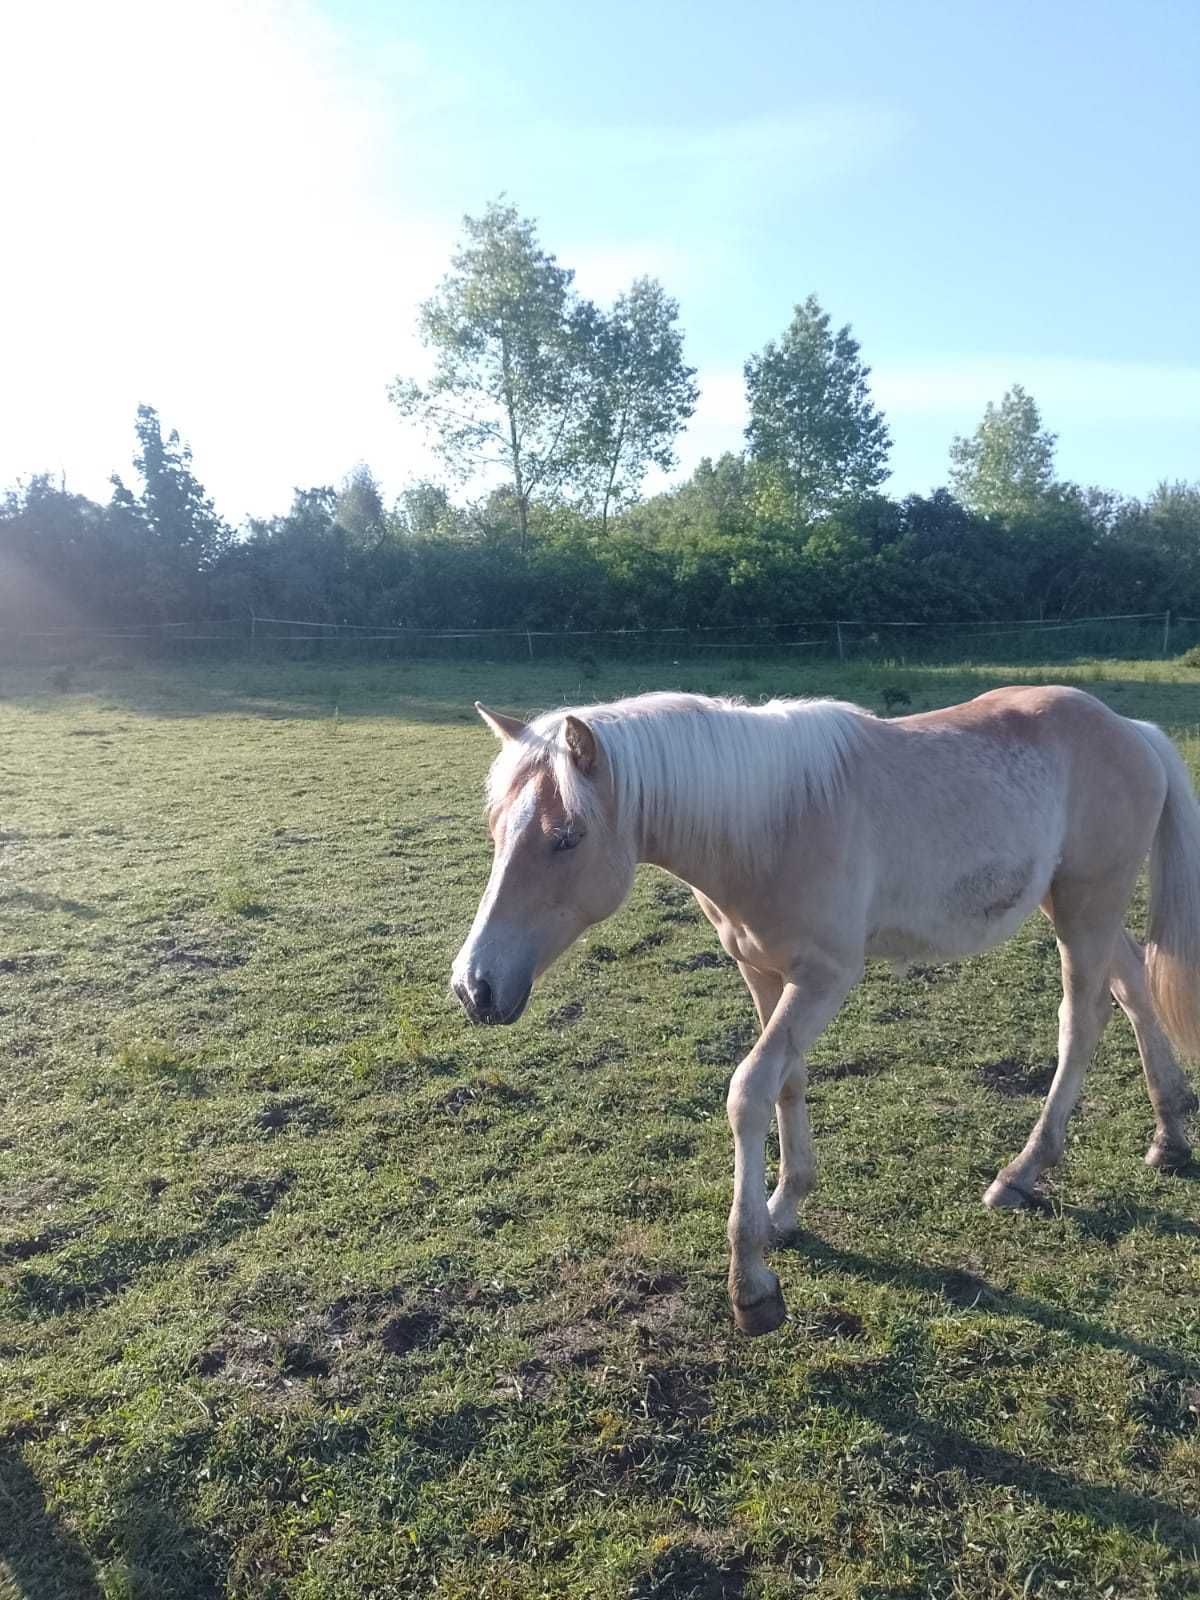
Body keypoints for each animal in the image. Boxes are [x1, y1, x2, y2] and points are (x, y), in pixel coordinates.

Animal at [454, 688, 1200, 1337]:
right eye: (494, 830)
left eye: (567, 838)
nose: (474, 987)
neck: (772, 823)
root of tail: (1132, 729)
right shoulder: (763, 972)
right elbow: (787, 1080)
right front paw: (785, 1207)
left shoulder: (825, 978)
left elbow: (748, 1090)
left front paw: (752, 1284)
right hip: (1075, 906)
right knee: (1133, 986)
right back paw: (1169, 1134)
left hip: (1084, 906)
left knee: (1082, 1020)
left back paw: (1022, 1173)